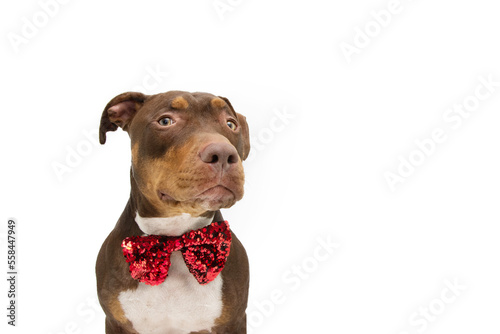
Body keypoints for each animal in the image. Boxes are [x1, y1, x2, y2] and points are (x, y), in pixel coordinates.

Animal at [95, 90, 250, 332]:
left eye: (231, 124)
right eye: (165, 121)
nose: (224, 153)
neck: (175, 239)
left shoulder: (234, 322)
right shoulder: (115, 323)